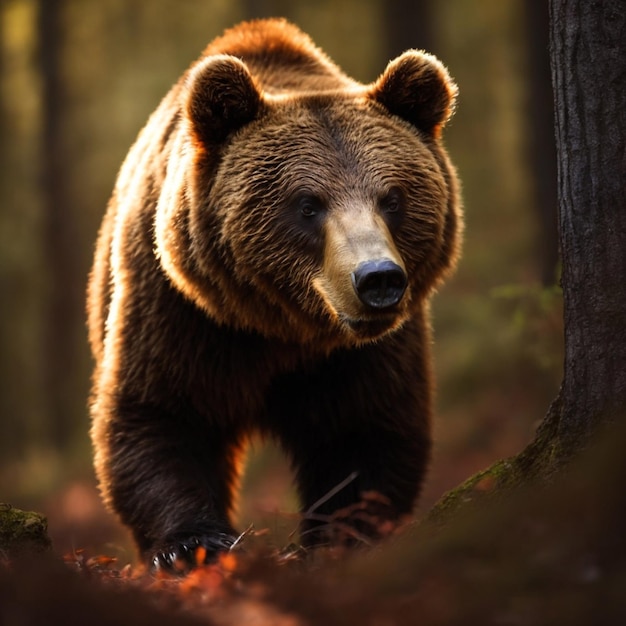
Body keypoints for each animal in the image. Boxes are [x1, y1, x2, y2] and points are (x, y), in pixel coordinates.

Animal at [86, 17, 458, 572]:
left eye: (392, 198)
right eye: (308, 204)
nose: (378, 279)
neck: (280, 327)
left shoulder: (361, 353)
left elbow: (364, 426)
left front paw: (341, 536)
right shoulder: (178, 311)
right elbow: (159, 412)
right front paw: (191, 544)